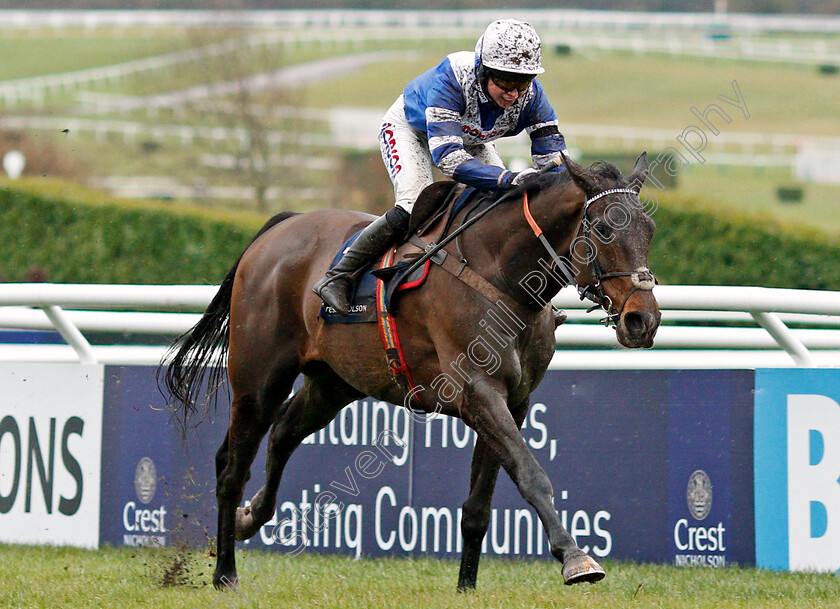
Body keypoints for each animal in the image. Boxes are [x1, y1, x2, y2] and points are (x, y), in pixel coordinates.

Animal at [161, 151, 660, 588]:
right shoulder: (478, 392)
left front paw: (466, 587)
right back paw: (225, 573)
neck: (501, 275)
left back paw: (249, 518)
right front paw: (575, 558)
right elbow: (532, 474)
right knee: (232, 469)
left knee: (283, 433)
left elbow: (480, 506)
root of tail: (278, 229)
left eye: (650, 228)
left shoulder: (514, 402)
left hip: (333, 383)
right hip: (258, 379)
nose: (643, 320)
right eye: (603, 227)